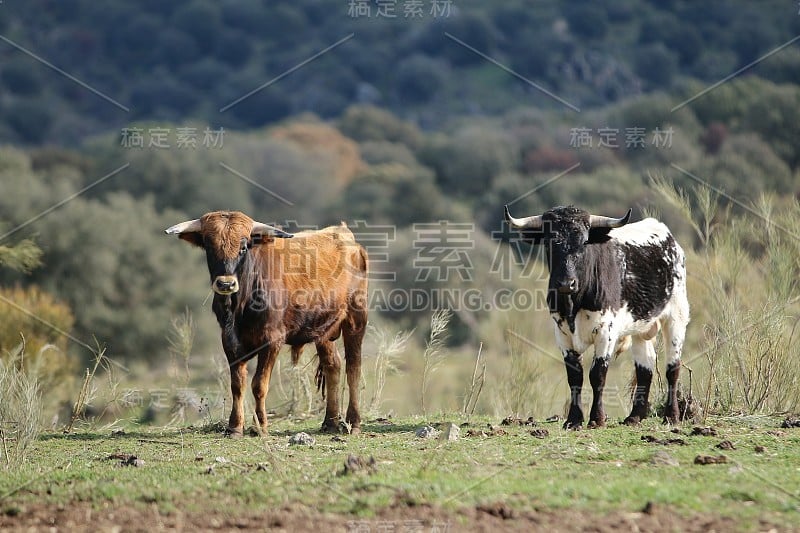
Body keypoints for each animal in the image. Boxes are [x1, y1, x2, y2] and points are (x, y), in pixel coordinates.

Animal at [169, 210, 372, 434]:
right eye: (210, 247)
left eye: (243, 247)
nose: (226, 284)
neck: (239, 307)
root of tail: (344, 234)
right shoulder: (229, 341)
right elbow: (237, 384)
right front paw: (235, 427)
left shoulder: (272, 340)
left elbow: (259, 385)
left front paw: (260, 426)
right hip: (324, 330)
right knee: (333, 365)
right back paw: (330, 422)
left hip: (356, 320)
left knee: (354, 367)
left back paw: (353, 421)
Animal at [506, 204, 688, 428]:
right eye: (549, 243)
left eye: (584, 242)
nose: (566, 283)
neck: (574, 304)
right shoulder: (562, 334)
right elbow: (575, 377)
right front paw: (573, 420)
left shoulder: (606, 332)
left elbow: (597, 374)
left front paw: (597, 419)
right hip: (641, 326)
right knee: (645, 367)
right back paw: (635, 417)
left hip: (676, 316)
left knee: (673, 367)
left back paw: (672, 416)